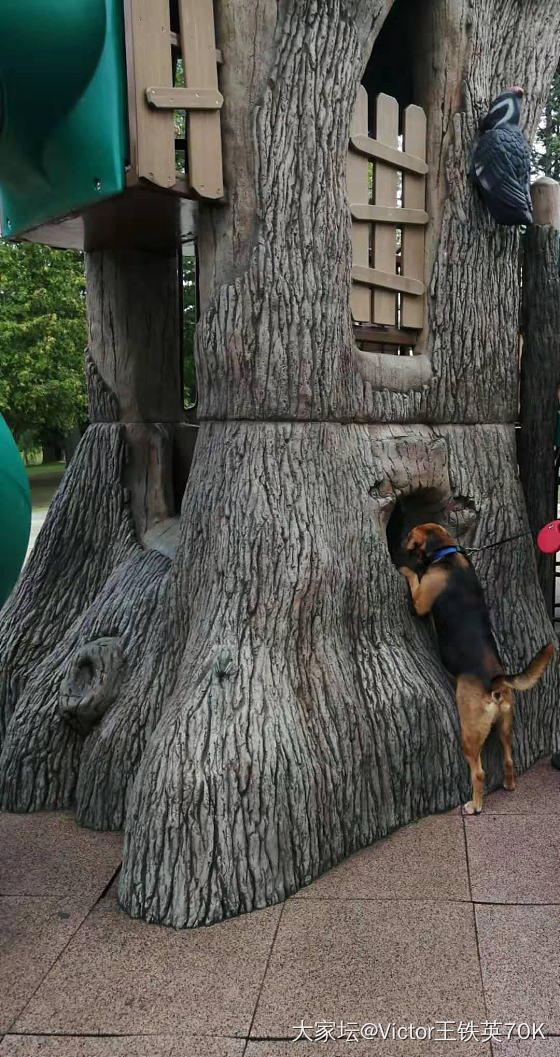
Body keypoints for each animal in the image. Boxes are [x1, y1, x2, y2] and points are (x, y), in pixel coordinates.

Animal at [399, 524, 549, 811]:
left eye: (410, 534)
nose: (400, 543)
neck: (446, 553)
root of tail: (495, 683)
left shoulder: (421, 601)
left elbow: (413, 579)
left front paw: (404, 568)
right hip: (505, 725)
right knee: (509, 759)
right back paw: (509, 785)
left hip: (469, 732)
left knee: (478, 772)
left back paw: (475, 805)